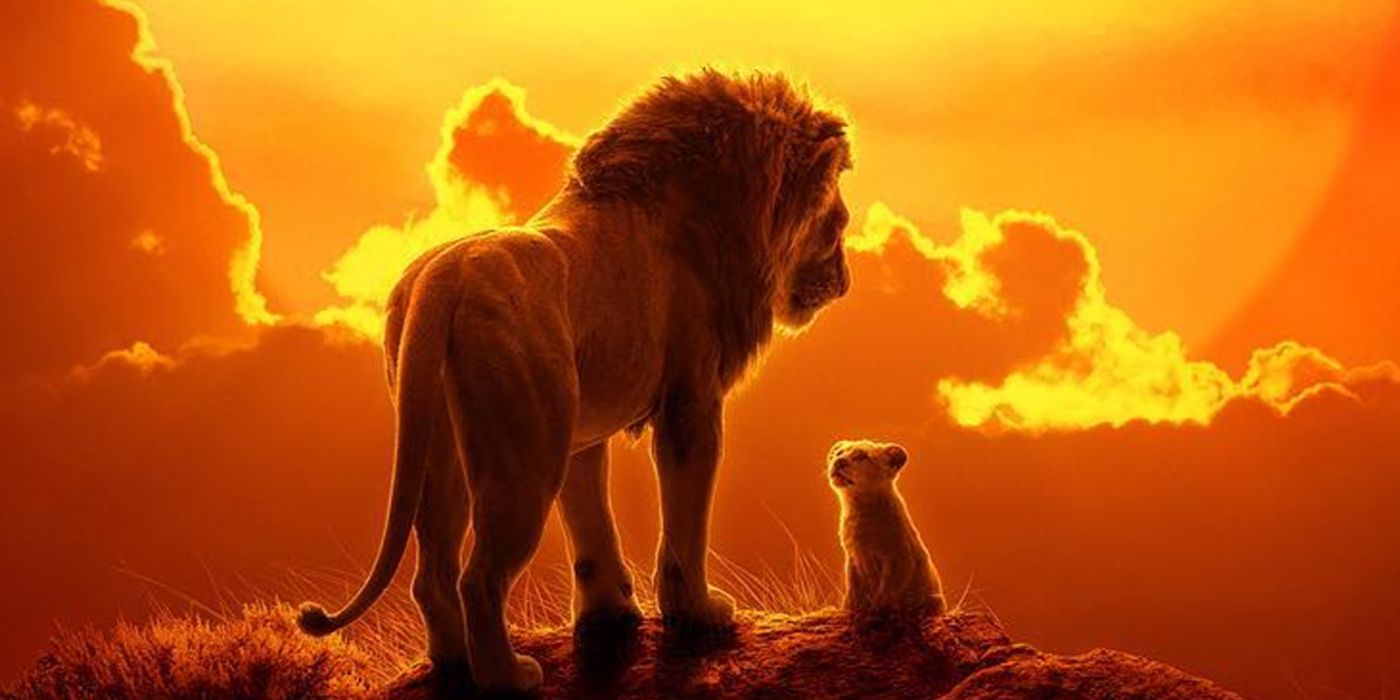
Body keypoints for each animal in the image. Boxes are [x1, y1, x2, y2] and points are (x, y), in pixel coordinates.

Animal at [295, 69, 854, 693]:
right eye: (837, 225)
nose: (845, 282)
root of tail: (442, 280)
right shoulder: (691, 401)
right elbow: (685, 520)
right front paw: (699, 613)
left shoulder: (581, 428)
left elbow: (590, 523)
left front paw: (610, 614)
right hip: (524, 456)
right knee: (479, 578)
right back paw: (509, 676)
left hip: (443, 443)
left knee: (433, 571)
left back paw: (454, 663)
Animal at [828, 440, 946, 615]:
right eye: (839, 452)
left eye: (862, 456)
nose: (838, 461)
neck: (858, 508)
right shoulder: (853, 558)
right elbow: (852, 589)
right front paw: (849, 609)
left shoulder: (900, 558)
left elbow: (887, 589)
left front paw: (878, 610)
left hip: (936, 600)